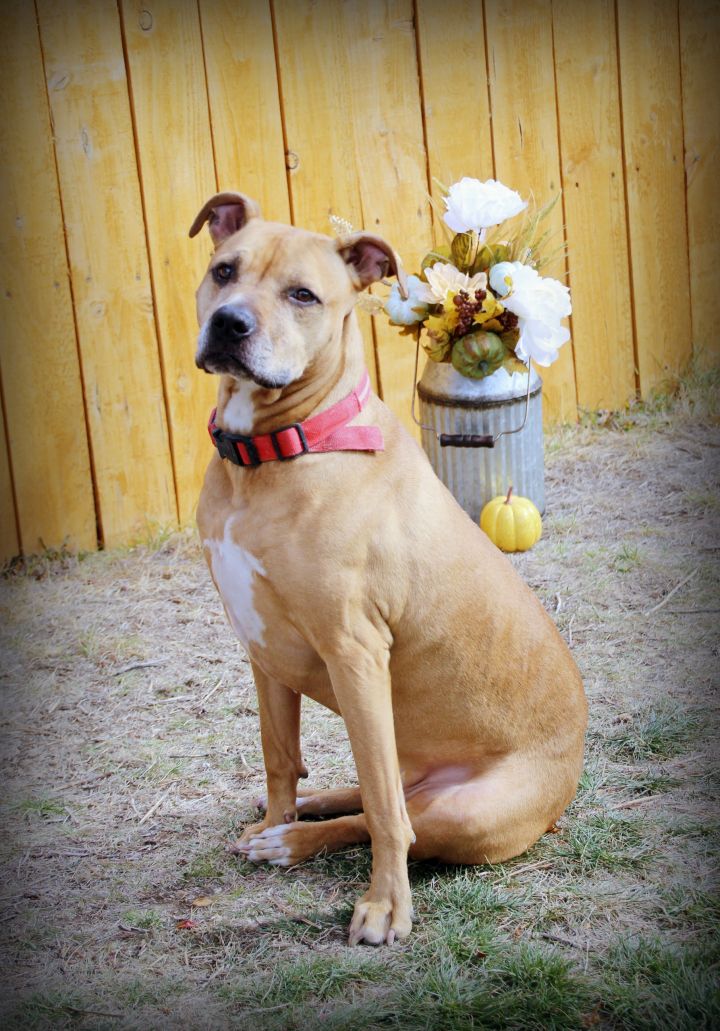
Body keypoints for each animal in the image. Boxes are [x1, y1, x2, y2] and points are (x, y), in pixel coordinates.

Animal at [187, 191, 585, 944]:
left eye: (303, 294)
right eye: (224, 271)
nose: (229, 323)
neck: (282, 449)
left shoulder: (355, 653)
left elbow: (382, 815)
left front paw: (385, 906)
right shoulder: (263, 650)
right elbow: (279, 757)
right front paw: (279, 811)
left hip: (465, 805)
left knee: (392, 813)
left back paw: (301, 838)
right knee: (375, 795)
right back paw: (301, 813)